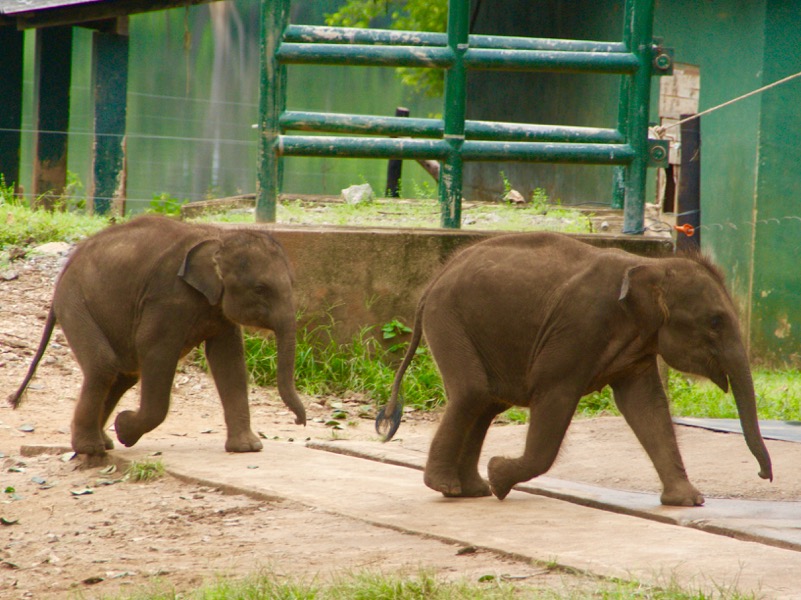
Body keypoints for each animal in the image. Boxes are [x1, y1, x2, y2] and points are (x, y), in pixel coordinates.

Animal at [9, 216, 306, 454]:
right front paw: (125, 429)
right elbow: (156, 351)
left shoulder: (218, 308)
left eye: (293, 284)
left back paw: (103, 442)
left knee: (123, 374)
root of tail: (66, 268)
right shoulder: (167, 298)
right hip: (75, 302)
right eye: (260, 289)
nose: (299, 422)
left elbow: (229, 360)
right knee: (104, 366)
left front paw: (247, 449)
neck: (218, 237)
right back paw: (92, 449)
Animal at [378, 231, 772, 506]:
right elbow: (555, 394)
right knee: (474, 393)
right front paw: (500, 477)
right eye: (716, 321)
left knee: (488, 402)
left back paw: (471, 490)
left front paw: (688, 502)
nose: (763, 475)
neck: (649, 264)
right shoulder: (579, 328)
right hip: (448, 319)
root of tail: (435, 278)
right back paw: (450, 487)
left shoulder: (638, 345)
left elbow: (646, 406)